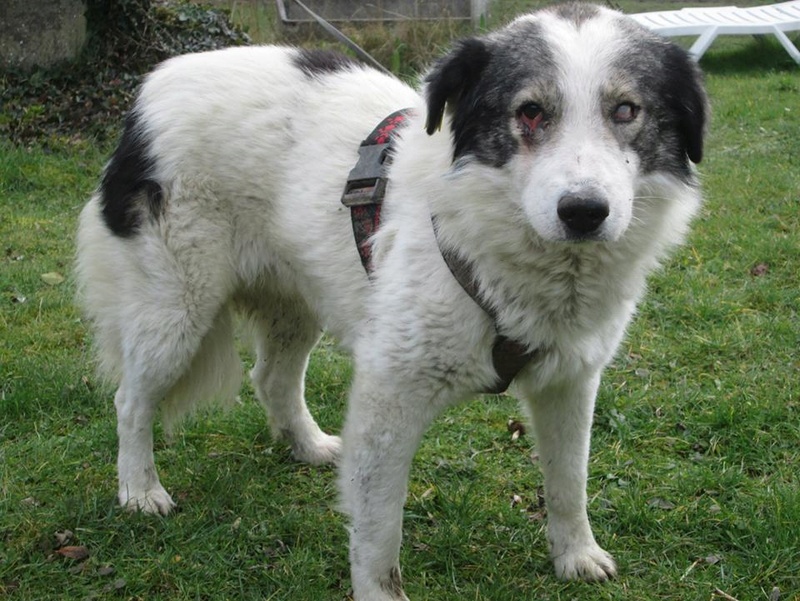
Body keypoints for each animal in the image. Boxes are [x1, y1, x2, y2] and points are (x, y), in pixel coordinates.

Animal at [76, 3, 708, 596]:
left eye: (625, 110)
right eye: (530, 111)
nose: (583, 212)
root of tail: (152, 88)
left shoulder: (570, 382)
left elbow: (568, 483)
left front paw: (575, 554)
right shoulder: (389, 396)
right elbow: (378, 531)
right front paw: (379, 592)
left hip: (294, 303)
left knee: (271, 379)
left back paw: (307, 445)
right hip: (175, 312)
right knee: (130, 401)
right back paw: (140, 488)